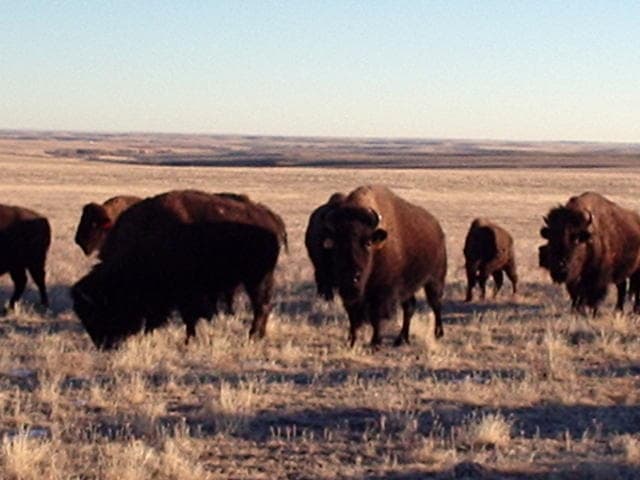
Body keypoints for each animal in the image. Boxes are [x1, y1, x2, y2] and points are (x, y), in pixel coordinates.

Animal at [72, 190, 286, 348]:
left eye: (96, 312)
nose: (103, 345)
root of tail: (271, 218)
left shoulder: (186, 293)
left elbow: (189, 318)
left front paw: (189, 341)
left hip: (257, 278)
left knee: (261, 306)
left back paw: (253, 336)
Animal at [321, 185, 447, 347]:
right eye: (337, 244)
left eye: (368, 243)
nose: (352, 276)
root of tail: (438, 230)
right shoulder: (349, 294)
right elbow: (353, 317)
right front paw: (352, 341)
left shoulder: (381, 293)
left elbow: (376, 317)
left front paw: (375, 343)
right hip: (408, 288)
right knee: (410, 307)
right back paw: (401, 339)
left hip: (434, 280)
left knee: (436, 304)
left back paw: (438, 334)